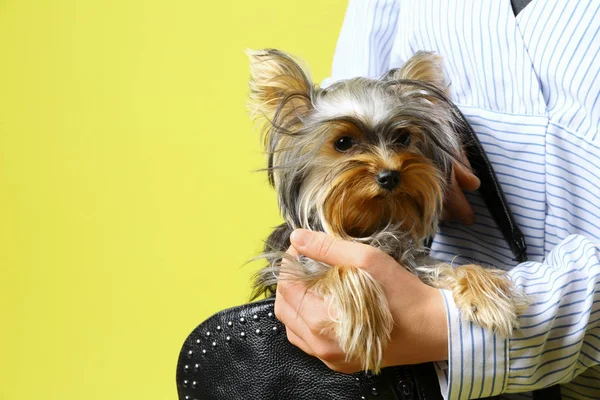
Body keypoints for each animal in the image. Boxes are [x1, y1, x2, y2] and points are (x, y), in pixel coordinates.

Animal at [246, 48, 528, 374]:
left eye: (403, 138)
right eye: (343, 142)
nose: (389, 175)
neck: (372, 224)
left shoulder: (414, 262)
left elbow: (451, 267)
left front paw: (488, 296)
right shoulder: (292, 265)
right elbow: (336, 268)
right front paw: (365, 324)